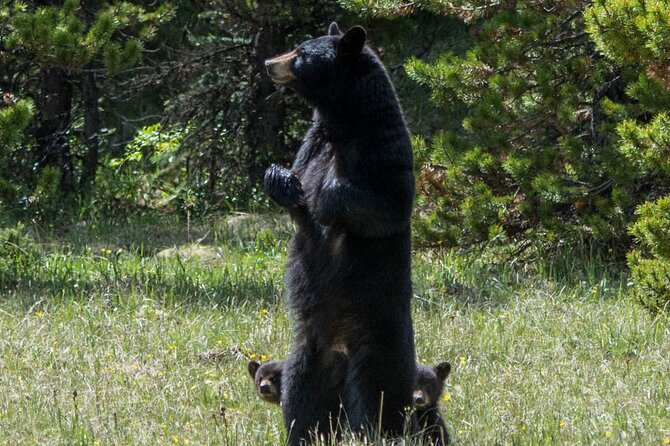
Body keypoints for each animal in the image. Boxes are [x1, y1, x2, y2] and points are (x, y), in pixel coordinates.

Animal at [264, 20, 418, 442]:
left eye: (300, 53)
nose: (268, 62)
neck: (345, 125)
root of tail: (339, 354)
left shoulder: (384, 151)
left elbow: (387, 206)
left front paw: (328, 197)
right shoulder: (312, 146)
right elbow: (295, 197)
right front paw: (282, 180)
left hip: (378, 350)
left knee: (378, 401)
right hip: (305, 356)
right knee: (299, 403)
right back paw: (301, 433)